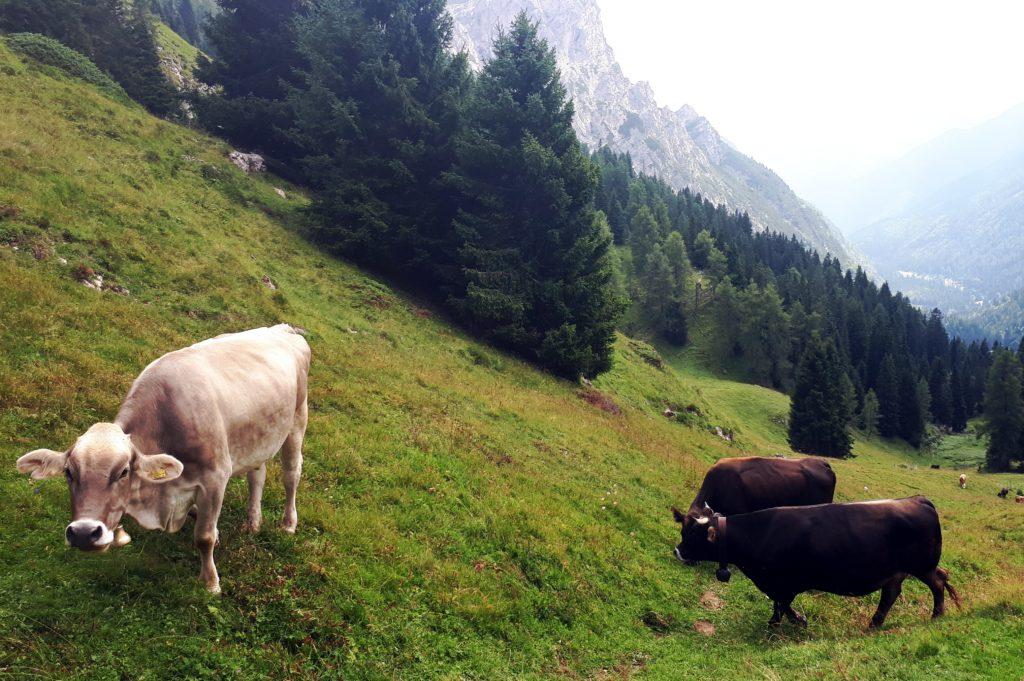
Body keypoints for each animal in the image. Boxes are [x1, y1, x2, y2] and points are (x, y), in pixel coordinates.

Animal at [16, 323, 309, 593]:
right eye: (69, 472)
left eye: (123, 471)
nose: (84, 533)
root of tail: (283, 329)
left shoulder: (215, 477)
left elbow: (204, 537)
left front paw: (211, 583)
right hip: (259, 437)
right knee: (257, 475)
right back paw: (253, 523)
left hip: (297, 420)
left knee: (291, 474)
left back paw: (288, 524)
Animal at [671, 493, 958, 626]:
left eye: (692, 534)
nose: (677, 551)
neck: (759, 533)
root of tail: (917, 499)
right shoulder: (776, 582)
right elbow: (778, 603)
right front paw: (783, 621)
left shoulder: (787, 581)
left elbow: (783, 603)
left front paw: (793, 621)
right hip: (897, 570)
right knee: (891, 594)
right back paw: (874, 624)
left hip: (922, 565)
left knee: (937, 583)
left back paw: (936, 615)